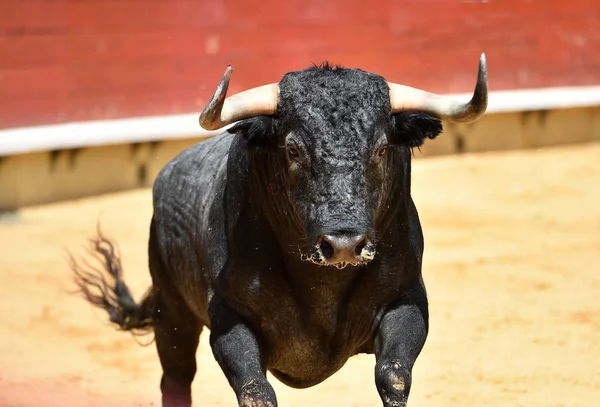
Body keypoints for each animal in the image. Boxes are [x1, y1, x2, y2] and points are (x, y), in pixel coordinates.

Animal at [70, 55, 490, 407]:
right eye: (293, 150)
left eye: (382, 149)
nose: (343, 245)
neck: (322, 284)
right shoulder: (228, 318)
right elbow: (256, 392)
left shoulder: (406, 301)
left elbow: (394, 377)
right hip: (171, 311)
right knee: (176, 380)